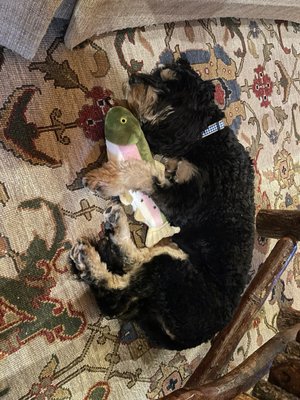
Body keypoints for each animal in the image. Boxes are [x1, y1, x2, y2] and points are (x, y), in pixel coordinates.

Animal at [71, 59, 255, 350]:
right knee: (129, 268)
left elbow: (143, 173)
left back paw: (89, 258)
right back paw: (116, 228)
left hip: (172, 268)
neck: (209, 138)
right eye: (158, 72)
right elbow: (157, 170)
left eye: (166, 88)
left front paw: (106, 178)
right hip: (172, 259)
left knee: (118, 289)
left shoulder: (183, 201)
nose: (133, 78)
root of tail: (185, 340)